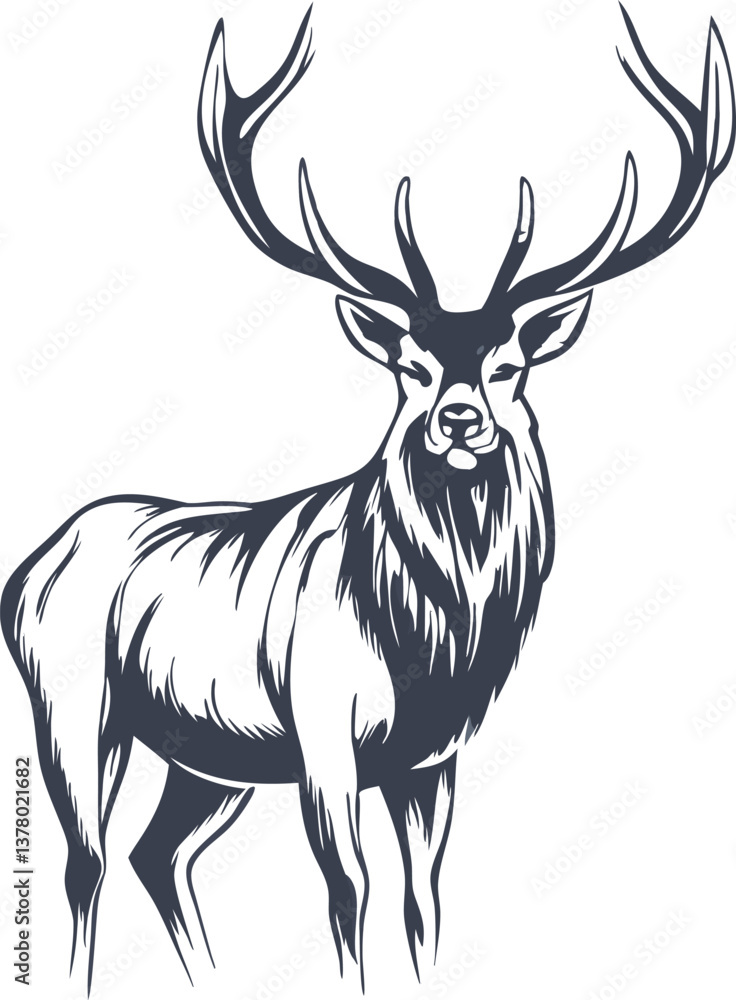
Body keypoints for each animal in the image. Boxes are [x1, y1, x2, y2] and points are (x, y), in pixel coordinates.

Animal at [2, 4, 733, 994]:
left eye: (510, 366)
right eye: (410, 367)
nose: (460, 420)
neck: (432, 643)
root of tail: (28, 567)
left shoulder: (432, 758)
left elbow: (423, 901)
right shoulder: (323, 732)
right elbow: (349, 892)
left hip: (212, 758)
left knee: (159, 853)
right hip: (73, 706)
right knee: (87, 861)